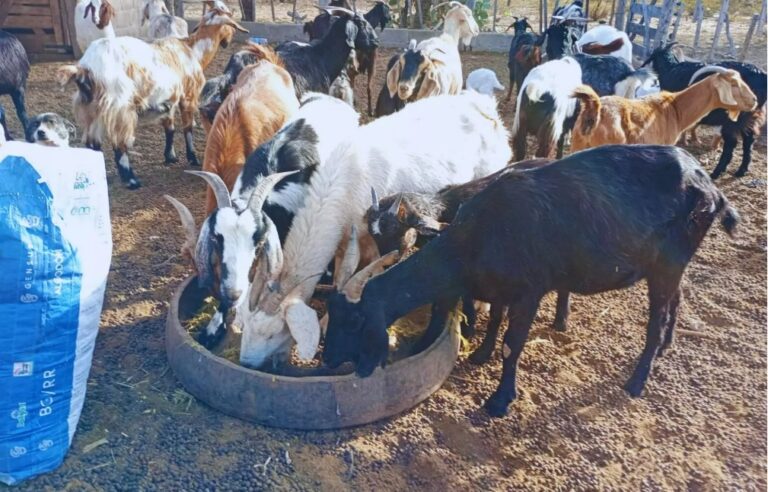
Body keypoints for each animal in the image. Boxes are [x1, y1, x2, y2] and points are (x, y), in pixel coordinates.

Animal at [57, 7, 248, 189]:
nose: (227, 41)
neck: (192, 51)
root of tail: (85, 69)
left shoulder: (168, 99)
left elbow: (169, 128)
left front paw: (170, 157)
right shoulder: (188, 96)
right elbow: (187, 128)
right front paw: (193, 158)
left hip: (91, 109)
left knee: (92, 144)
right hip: (119, 108)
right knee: (119, 144)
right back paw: (132, 181)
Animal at [233, 91, 512, 369]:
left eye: (274, 332)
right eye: (246, 324)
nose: (246, 363)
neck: (343, 183)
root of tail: (485, 105)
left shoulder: (375, 239)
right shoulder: (344, 241)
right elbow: (340, 276)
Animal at [323, 144, 739, 418]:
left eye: (355, 321)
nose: (326, 360)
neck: (477, 234)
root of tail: (709, 186)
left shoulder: (528, 292)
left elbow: (511, 343)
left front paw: (499, 400)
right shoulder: (495, 286)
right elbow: (493, 318)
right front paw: (480, 353)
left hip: (668, 262)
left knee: (655, 318)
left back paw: (638, 380)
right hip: (671, 264)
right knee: (675, 298)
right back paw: (666, 345)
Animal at [643, 43, 768, 178]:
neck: (670, 69)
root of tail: (762, 76)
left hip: (734, 119)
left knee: (731, 144)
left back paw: (716, 173)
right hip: (750, 117)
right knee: (748, 141)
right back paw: (741, 171)